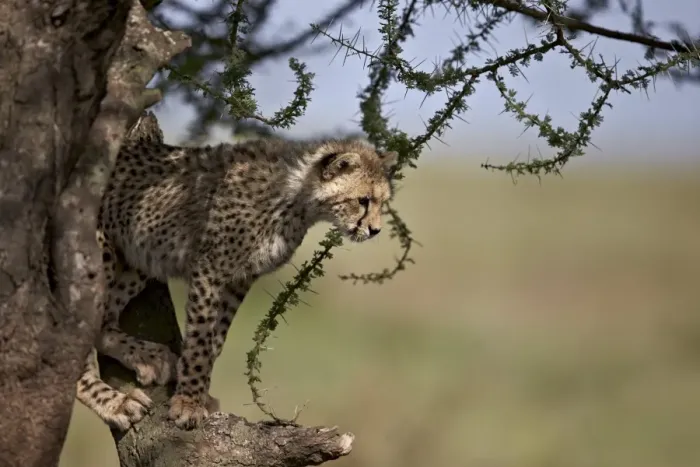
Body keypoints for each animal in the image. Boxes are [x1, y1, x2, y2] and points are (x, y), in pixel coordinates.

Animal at [75, 135, 398, 430]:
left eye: (382, 203)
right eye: (363, 201)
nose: (375, 230)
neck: (296, 195)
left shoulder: (241, 279)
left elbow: (215, 341)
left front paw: (198, 394)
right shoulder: (211, 268)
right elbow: (200, 340)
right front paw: (188, 403)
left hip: (145, 251)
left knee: (103, 321)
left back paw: (146, 356)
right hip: (99, 252)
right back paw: (115, 402)